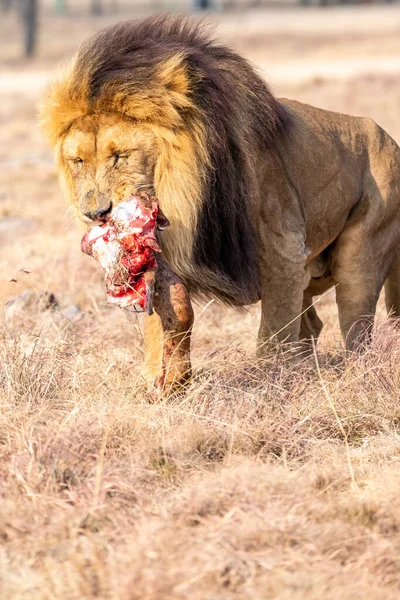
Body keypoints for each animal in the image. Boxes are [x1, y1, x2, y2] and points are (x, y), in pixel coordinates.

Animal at [39, 15, 400, 390]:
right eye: (78, 161)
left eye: (120, 155)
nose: (94, 213)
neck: (186, 194)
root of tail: (390, 140)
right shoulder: (163, 253)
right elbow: (164, 317)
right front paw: (161, 380)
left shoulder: (283, 252)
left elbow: (274, 331)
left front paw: (270, 378)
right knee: (314, 324)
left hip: (360, 262)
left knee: (357, 332)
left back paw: (354, 371)